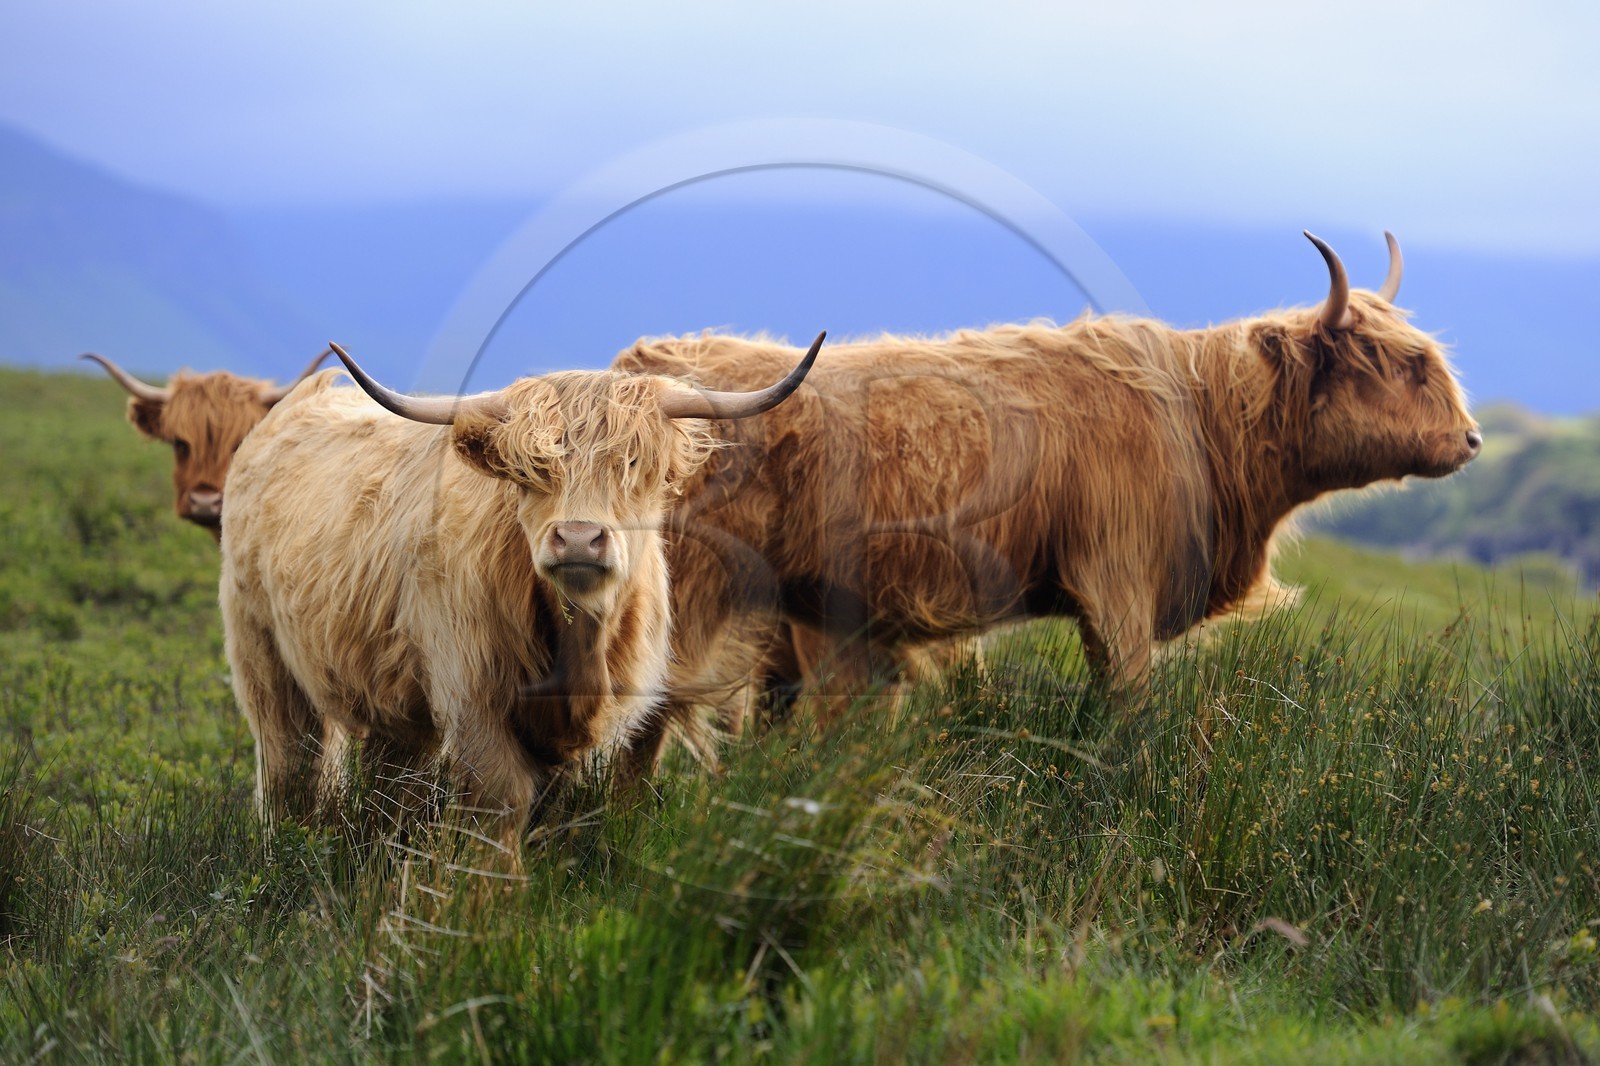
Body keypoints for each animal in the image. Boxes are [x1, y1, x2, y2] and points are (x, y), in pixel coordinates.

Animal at [219, 335, 823, 837]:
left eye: (631, 461)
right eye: (531, 471)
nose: (578, 539)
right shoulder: (471, 695)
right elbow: (503, 799)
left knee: (389, 781)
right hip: (263, 659)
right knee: (289, 764)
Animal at [615, 232, 1480, 768]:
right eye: (1401, 365)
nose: (1471, 439)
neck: (1205, 419)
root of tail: (645, 367)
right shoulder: (1118, 577)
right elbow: (1127, 702)